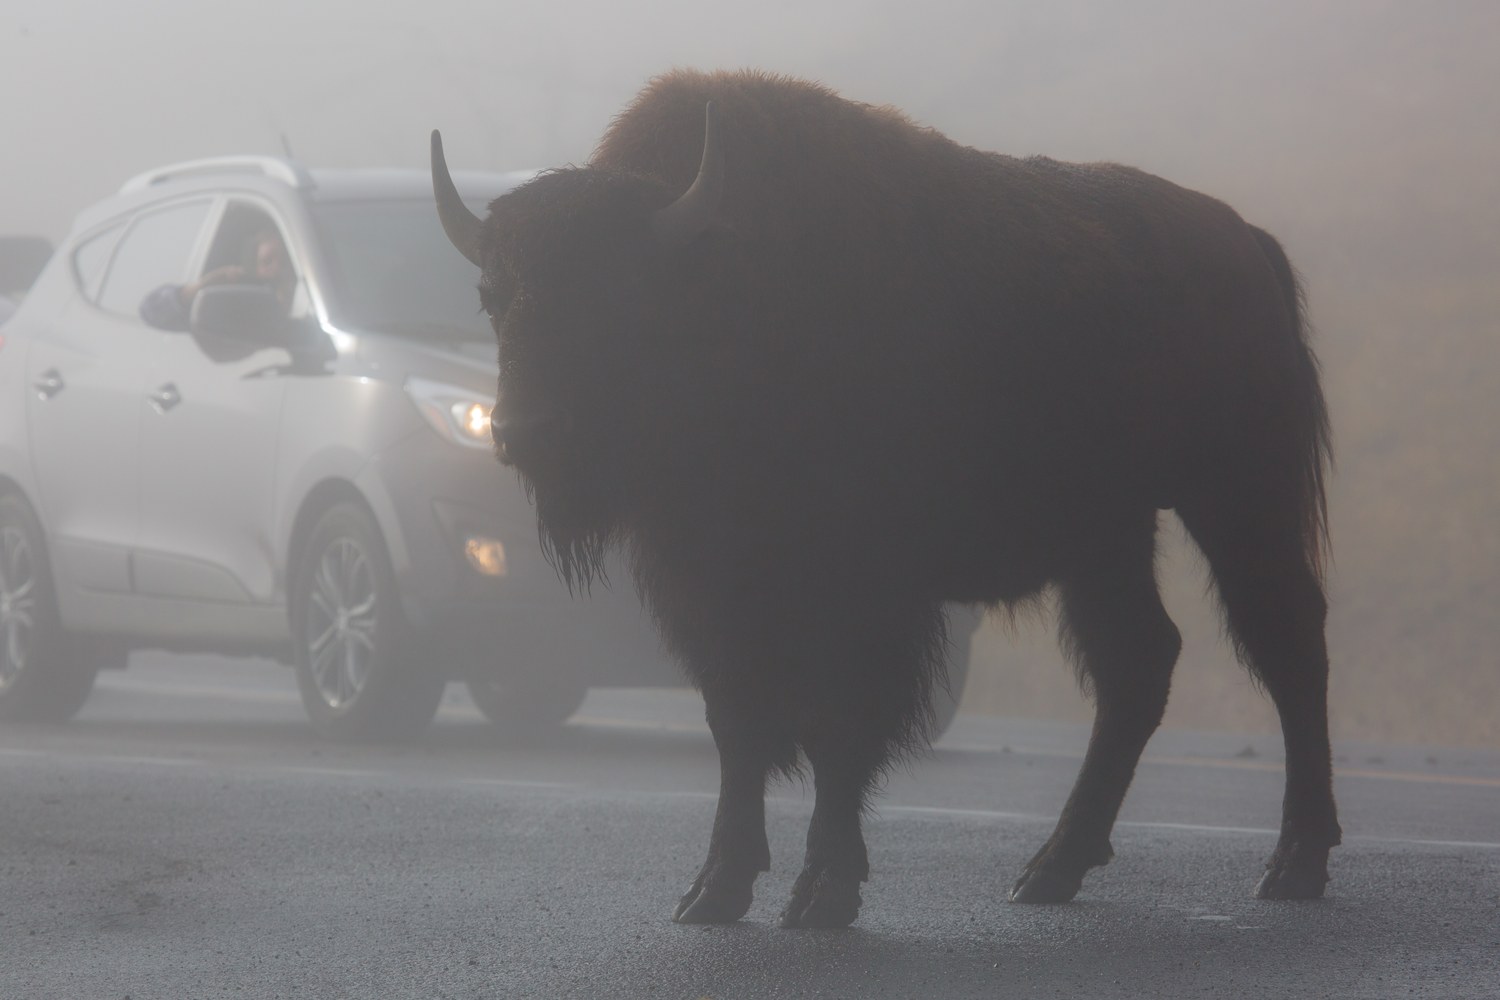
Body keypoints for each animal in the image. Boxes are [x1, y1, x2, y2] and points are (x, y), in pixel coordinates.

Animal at [431, 69, 1338, 928]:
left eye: (619, 295)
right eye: (492, 297)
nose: (524, 430)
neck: (727, 288)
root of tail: (1246, 242)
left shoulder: (864, 597)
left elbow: (841, 726)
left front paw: (823, 893)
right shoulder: (708, 592)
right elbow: (738, 725)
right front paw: (714, 891)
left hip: (1238, 498)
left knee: (1286, 644)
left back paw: (1295, 864)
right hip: (1107, 535)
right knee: (1138, 663)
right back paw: (1051, 870)